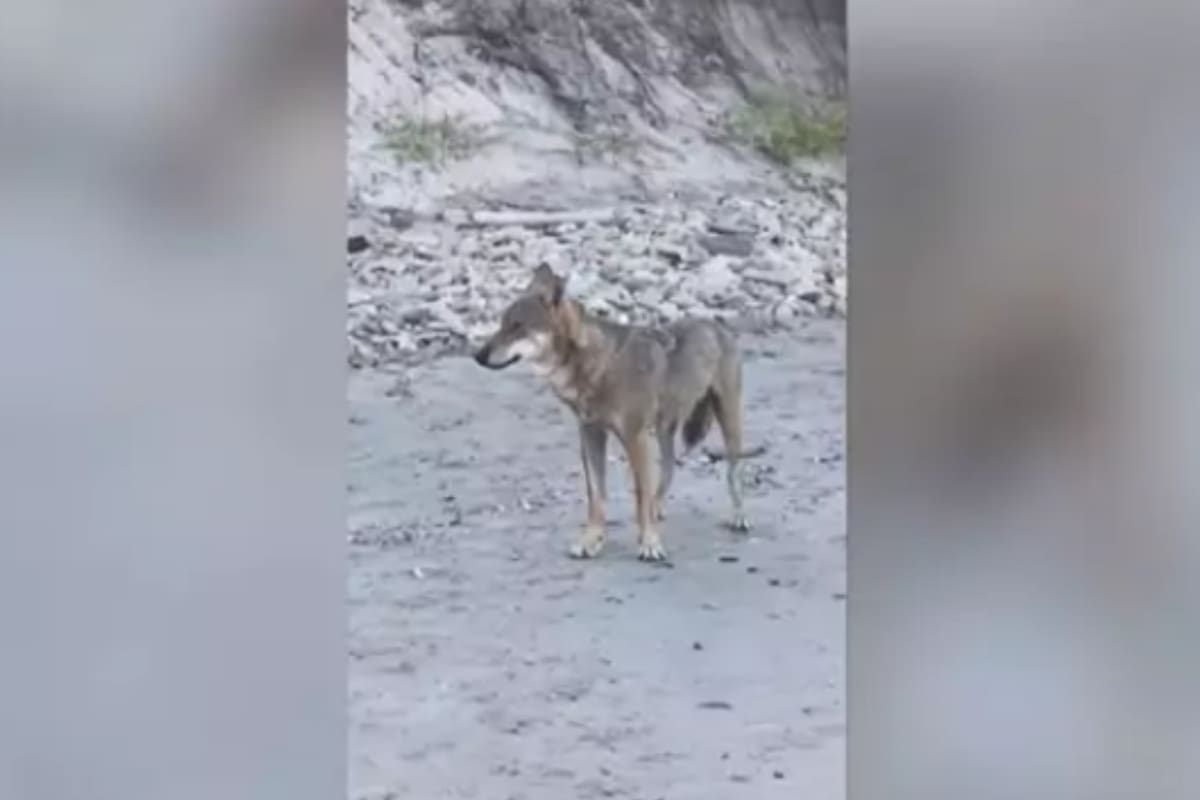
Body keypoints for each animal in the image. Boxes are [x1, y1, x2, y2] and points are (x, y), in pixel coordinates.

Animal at [473, 263, 750, 562]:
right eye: (502, 324)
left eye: (518, 327)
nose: (478, 355)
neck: (600, 365)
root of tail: (717, 324)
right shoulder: (591, 436)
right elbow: (597, 496)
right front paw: (591, 540)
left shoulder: (636, 439)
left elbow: (640, 495)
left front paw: (650, 543)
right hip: (663, 432)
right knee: (669, 468)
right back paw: (659, 508)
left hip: (728, 424)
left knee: (733, 474)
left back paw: (739, 517)